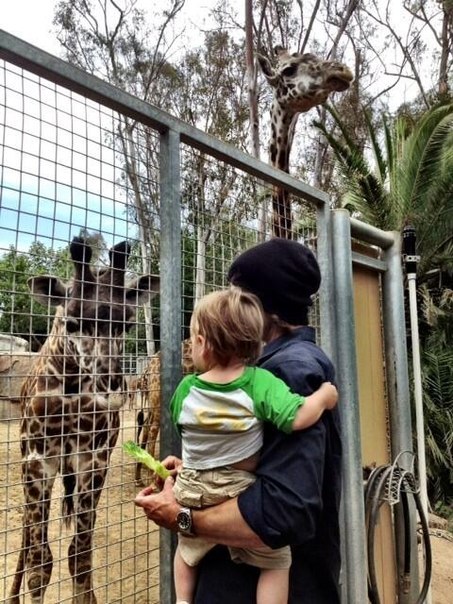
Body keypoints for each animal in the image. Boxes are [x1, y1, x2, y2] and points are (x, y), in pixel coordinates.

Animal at [7, 236, 161, 604]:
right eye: (73, 323)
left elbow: (80, 556)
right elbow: (40, 563)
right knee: (27, 540)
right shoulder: (38, 460)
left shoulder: (93, 459)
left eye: (127, 324)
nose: (113, 387)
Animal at [132, 338, 192, 484]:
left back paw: (139, 477)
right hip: (159, 400)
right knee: (152, 429)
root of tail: (147, 369)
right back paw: (152, 476)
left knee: (146, 426)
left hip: (152, 400)